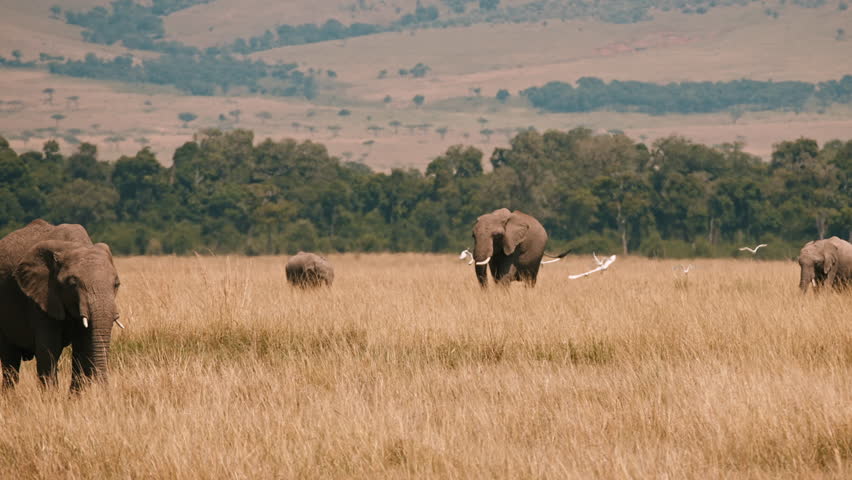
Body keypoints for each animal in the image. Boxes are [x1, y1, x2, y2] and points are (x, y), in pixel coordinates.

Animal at [0, 219, 121, 391]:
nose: (105, 389)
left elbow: (83, 347)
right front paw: (50, 396)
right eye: (73, 284)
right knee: (10, 360)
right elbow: (49, 349)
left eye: (116, 284)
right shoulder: (41, 297)